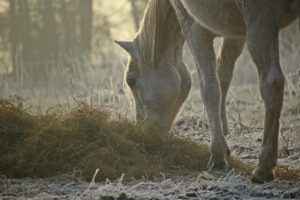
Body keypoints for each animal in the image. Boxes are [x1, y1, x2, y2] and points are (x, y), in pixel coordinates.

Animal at [116, 0, 300, 184]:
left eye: (130, 81)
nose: (142, 132)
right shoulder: (234, 32)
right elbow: (223, 74)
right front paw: (224, 135)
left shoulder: (194, 27)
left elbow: (209, 86)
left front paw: (218, 155)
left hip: (260, 19)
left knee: (271, 82)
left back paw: (263, 167)